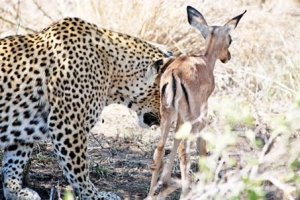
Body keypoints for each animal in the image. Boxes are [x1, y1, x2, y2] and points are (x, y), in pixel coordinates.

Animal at [0, 17, 173, 200]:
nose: (170, 118)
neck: (114, 71)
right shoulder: (69, 125)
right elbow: (79, 169)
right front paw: (94, 195)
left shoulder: (24, 126)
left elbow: (15, 159)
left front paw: (15, 191)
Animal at [146, 5, 245, 199]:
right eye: (230, 39)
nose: (228, 56)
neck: (205, 60)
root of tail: (175, 73)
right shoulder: (202, 114)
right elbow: (202, 145)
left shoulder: (180, 117)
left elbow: (175, 140)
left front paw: (165, 181)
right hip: (189, 117)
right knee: (184, 151)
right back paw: (185, 192)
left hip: (168, 113)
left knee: (160, 148)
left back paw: (151, 193)